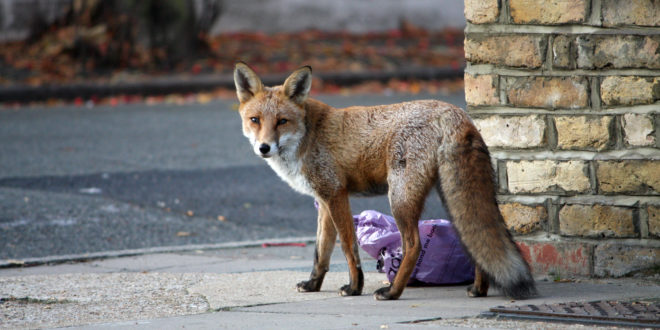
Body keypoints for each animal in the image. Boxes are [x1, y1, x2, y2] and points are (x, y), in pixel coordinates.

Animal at [232, 62, 536, 302]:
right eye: (255, 120)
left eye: (282, 121)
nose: (264, 147)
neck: (307, 136)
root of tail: (454, 112)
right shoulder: (323, 199)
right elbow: (321, 252)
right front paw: (313, 285)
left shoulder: (336, 194)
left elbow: (348, 247)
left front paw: (355, 287)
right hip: (450, 195)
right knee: (474, 238)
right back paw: (478, 289)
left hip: (400, 197)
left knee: (413, 246)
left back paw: (393, 292)